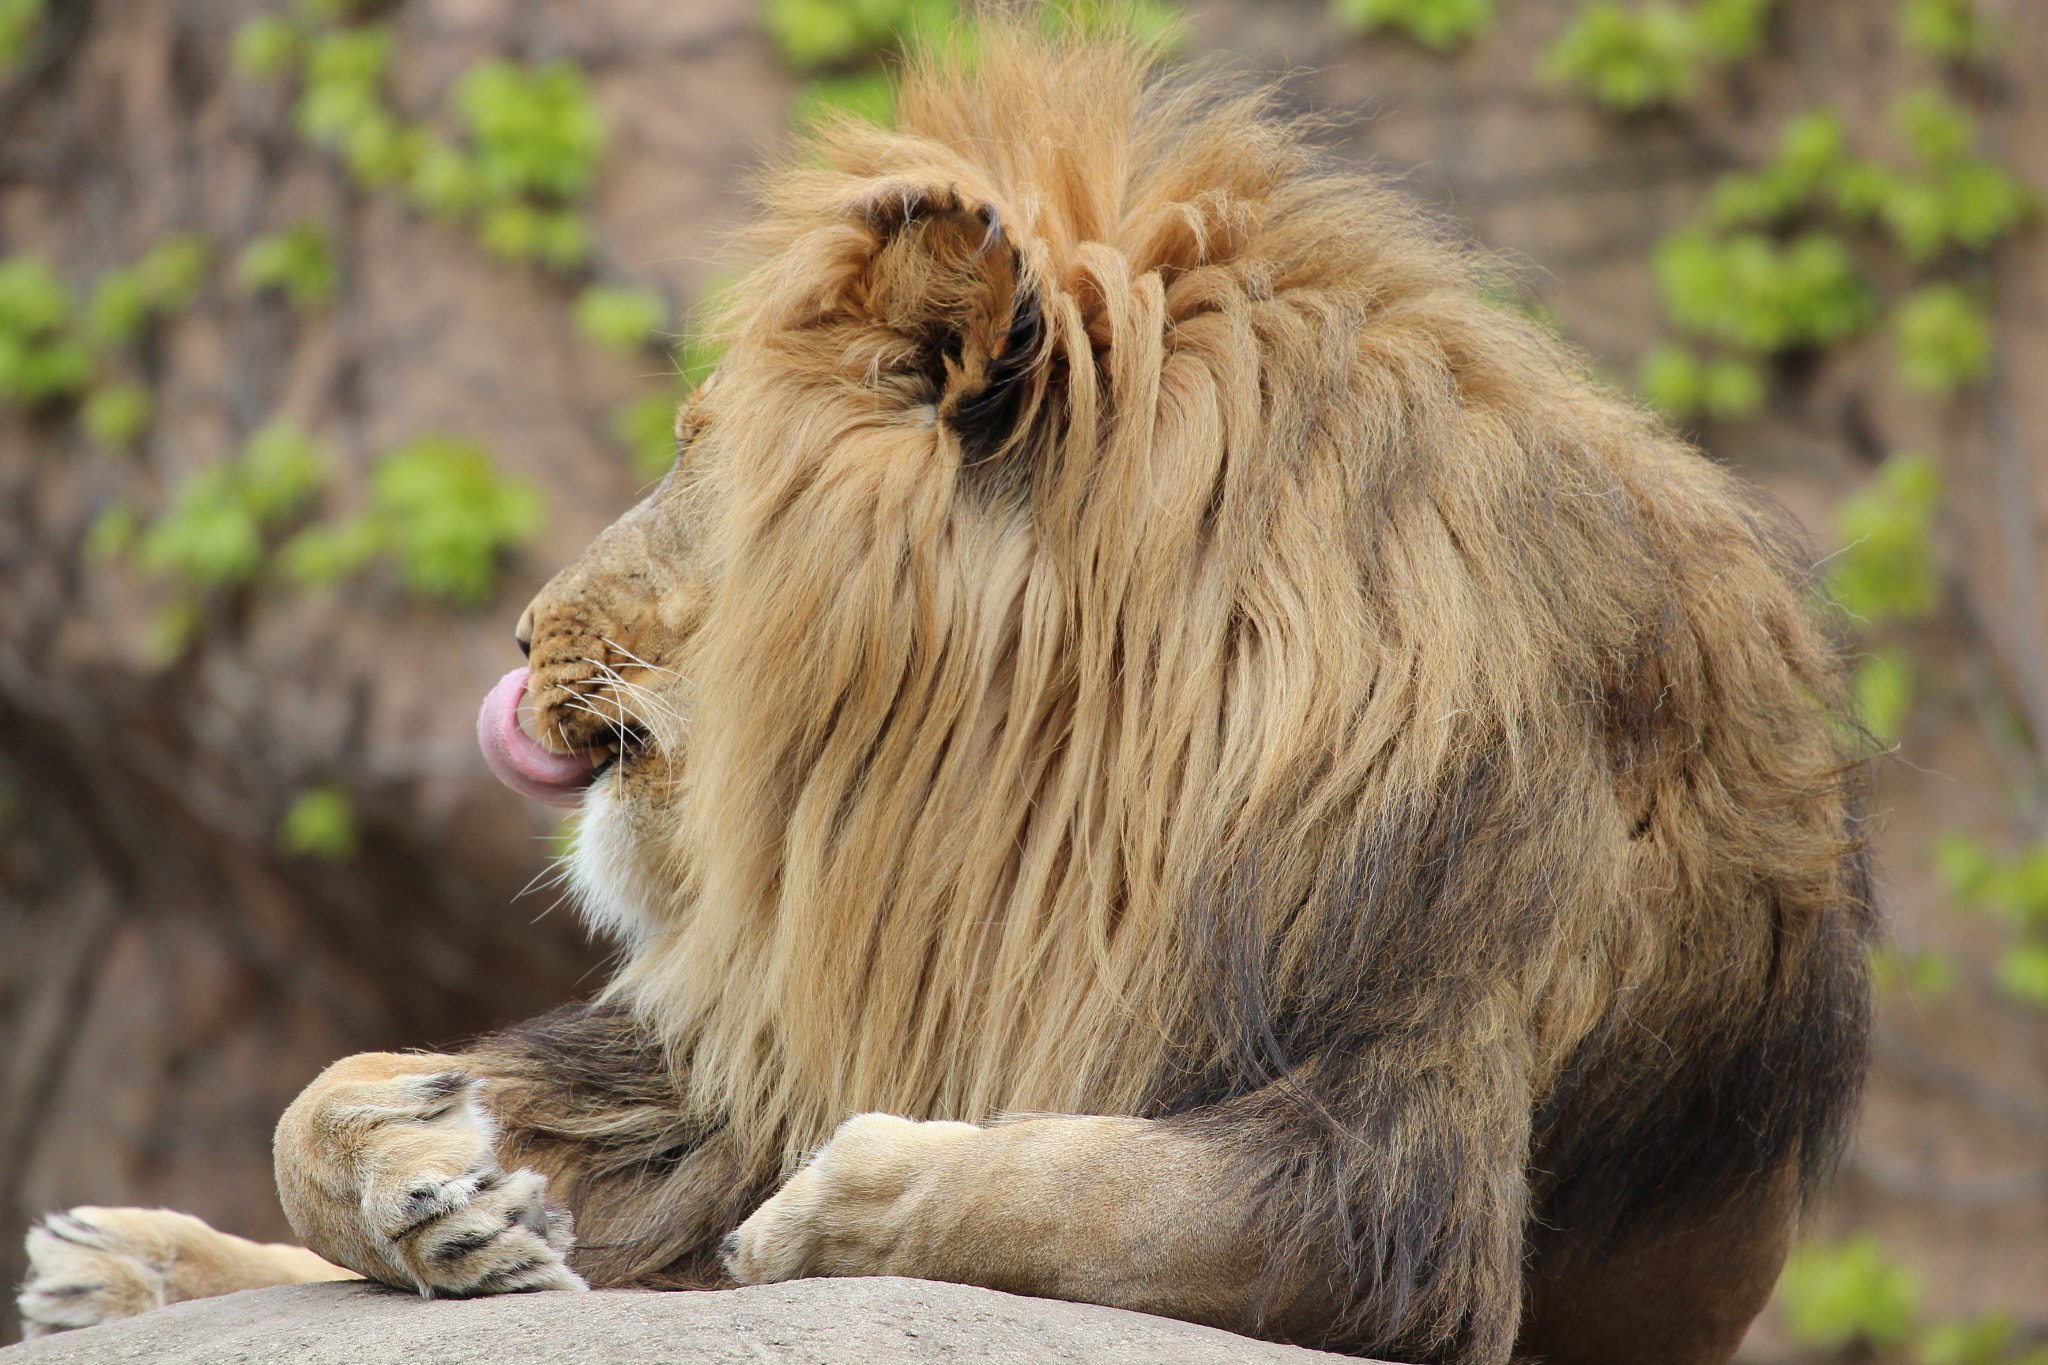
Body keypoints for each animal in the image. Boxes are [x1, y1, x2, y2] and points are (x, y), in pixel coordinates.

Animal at [18, 28, 1873, 1365]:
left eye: (696, 461)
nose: (526, 636)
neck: (1030, 778)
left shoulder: (1396, 1169)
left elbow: (1089, 1190)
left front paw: (825, 1214)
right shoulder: (777, 1021)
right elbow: (313, 1105)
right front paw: (435, 1188)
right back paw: (114, 1266)